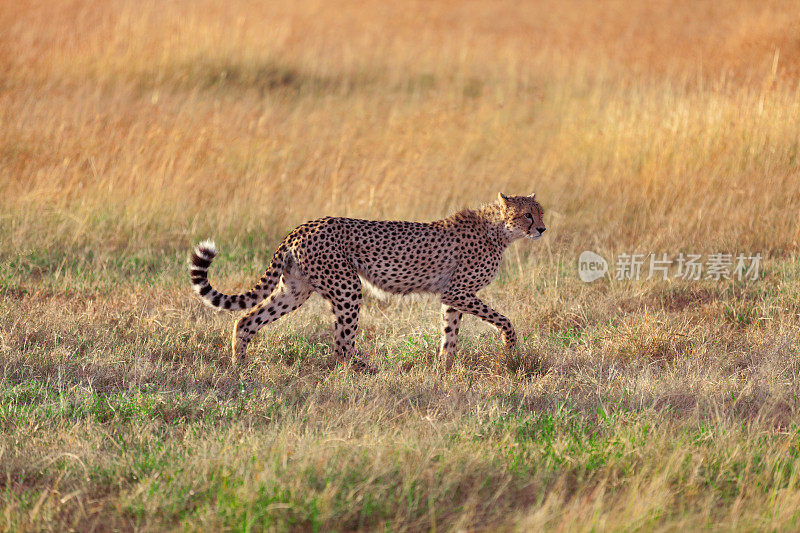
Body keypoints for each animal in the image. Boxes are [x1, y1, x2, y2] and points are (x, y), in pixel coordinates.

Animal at [191, 191, 548, 370]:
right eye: (527, 215)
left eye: (541, 212)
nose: (542, 229)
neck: (499, 230)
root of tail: (302, 226)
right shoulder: (458, 291)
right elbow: (504, 319)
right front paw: (510, 349)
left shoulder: (452, 296)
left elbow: (450, 334)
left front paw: (444, 368)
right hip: (348, 287)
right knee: (341, 344)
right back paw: (365, 370)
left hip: (295, 290)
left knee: (246, 319)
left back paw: (240, 367)